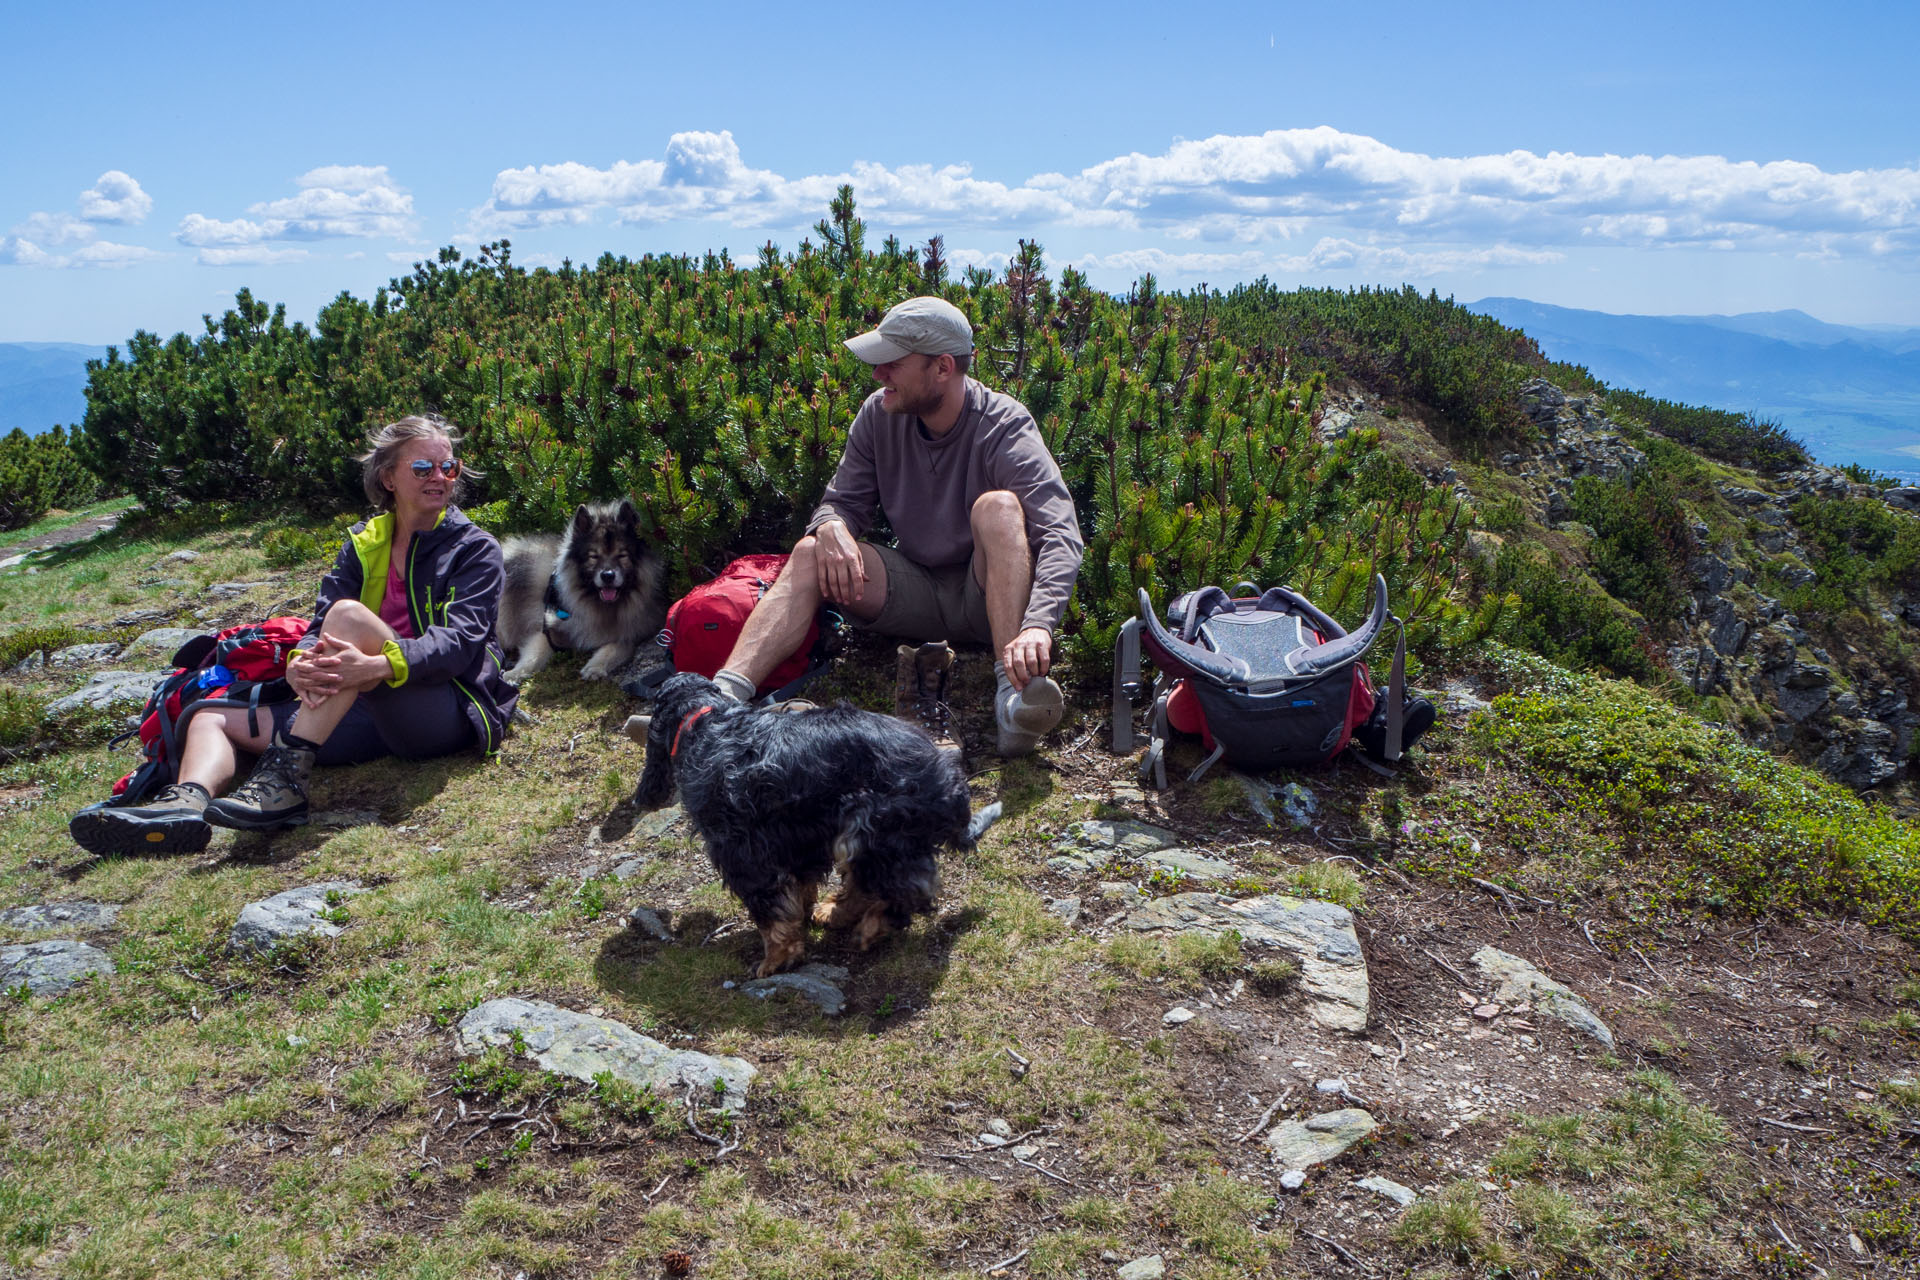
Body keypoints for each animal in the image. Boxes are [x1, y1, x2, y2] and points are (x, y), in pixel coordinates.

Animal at [499, 498, 664, 687]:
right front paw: (515, 673)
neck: (602, 607)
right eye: (594, 556)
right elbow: (534, 654)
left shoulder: (630, 635)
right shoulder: (549, 627)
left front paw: (595, 667)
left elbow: (613, 648)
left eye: (622, 555)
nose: (608, 575)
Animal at [641, 675, 1013, 974]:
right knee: (872, 886)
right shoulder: (798, 842)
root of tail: (952, 783)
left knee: (902, 892)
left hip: (869, 827)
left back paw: (869, 928)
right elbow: (799, 890)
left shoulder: (745, 856)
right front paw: (803, 917)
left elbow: (772, 916)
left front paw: (775, 960)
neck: (705, 719)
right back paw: (833, 913)